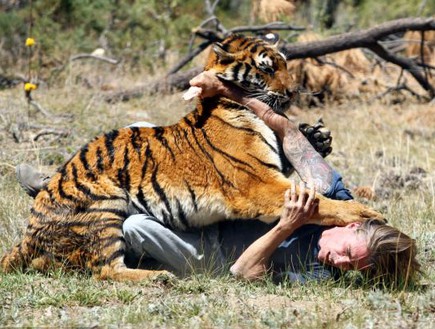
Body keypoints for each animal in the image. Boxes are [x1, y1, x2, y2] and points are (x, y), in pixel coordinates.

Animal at [0, 32, 384, 280]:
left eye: (284, 65)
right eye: (266, 68)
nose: (292, 92)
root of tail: (27, 235)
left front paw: (317, 138)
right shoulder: (260, 186)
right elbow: (323, 203)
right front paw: (367, 212)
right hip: (104, 208)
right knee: (104, 270)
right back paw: (156, 280)